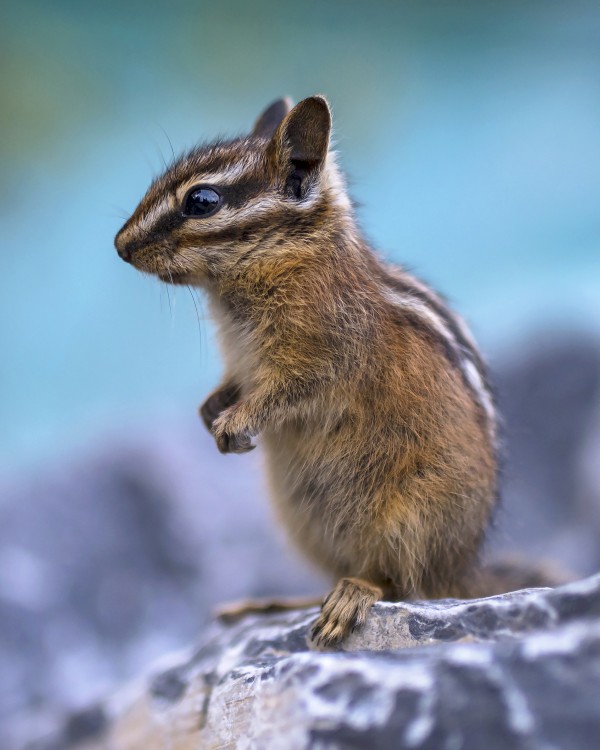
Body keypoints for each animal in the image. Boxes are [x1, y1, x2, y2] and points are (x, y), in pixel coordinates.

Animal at [114, 95, 554, 648]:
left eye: (202, 201)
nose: (119, 245)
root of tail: (462, 569)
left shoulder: (322, 352)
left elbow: (286, 391)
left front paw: (235, 423)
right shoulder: (240, 361)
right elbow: (232, 386)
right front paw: (211, 410)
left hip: (410, 519)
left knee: (399, 582)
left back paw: (351, 597)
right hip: (304, 523)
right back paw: (276, 602)